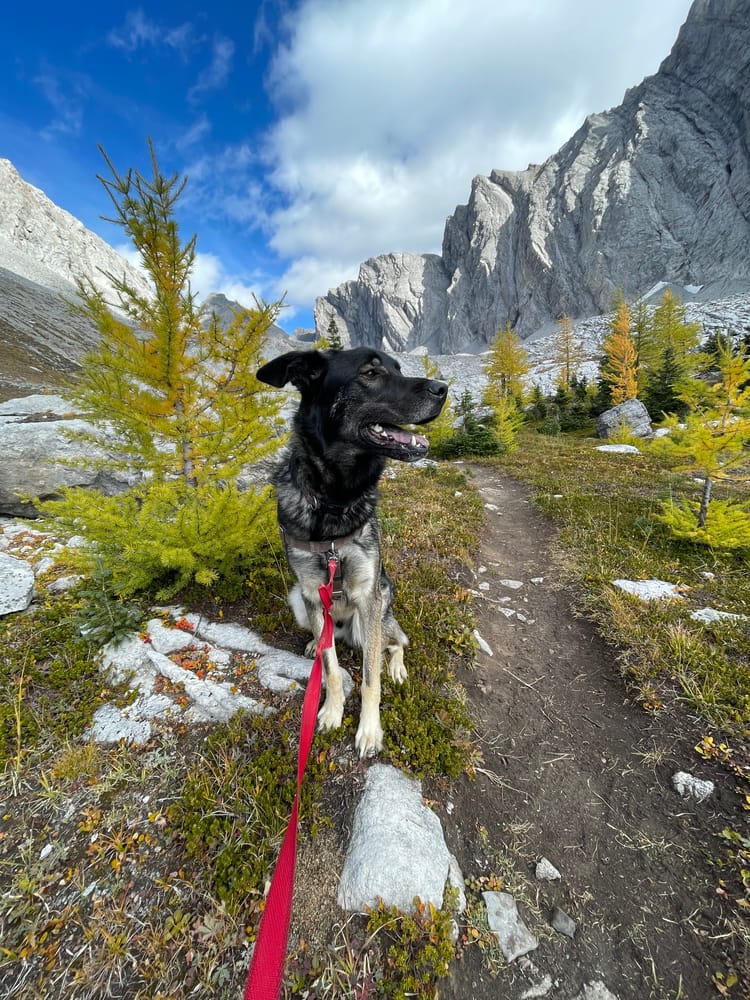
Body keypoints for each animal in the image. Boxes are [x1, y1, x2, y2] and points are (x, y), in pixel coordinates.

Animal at [256, 348, 450, 752]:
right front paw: (331, 711)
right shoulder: (312, 593)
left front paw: (370, 730)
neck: (333, 501)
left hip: (377, 611)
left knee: (394, 642)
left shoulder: (368, 596)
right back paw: (314, 645)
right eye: (370, 373)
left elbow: (370, 679)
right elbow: (330, 669)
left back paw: (397, 667)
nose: (443, 388)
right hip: (298, 601)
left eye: (398, 368)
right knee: (330, 641)